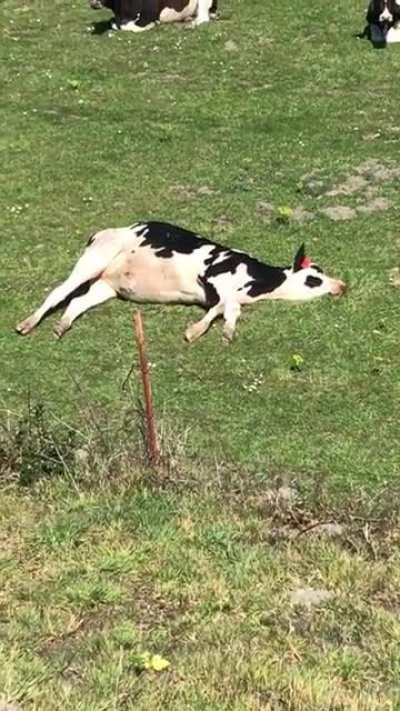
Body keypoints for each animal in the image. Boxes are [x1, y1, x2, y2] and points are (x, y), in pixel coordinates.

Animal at [16, 221, 346, 343]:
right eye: (314, 279)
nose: (341, 286)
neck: (256, 281)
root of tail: (109, 229)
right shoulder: (212, 276)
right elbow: (225, 306)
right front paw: (196, 330)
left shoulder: (225, 294)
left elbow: (229, 308)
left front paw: (224, 330)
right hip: (93, 260)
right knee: (58, 292)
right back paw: (27, 324)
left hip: (106, 285)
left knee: (77, 300)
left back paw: (61, 326)